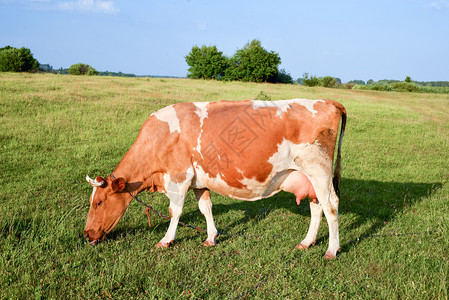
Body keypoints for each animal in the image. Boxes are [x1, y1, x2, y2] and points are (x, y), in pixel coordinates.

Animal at [84, 98, 346, 258]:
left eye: (99, 202)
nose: (86, 234)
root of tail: (327, 101)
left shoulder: (178, 177)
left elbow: (174, 211)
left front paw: (166, 240)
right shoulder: (199, 181)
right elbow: (205, 208)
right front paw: (211, 237)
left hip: (319, 171)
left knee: (331, 206)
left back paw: (332, 250)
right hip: (309, 178)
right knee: (316, 206)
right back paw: (307, 242)